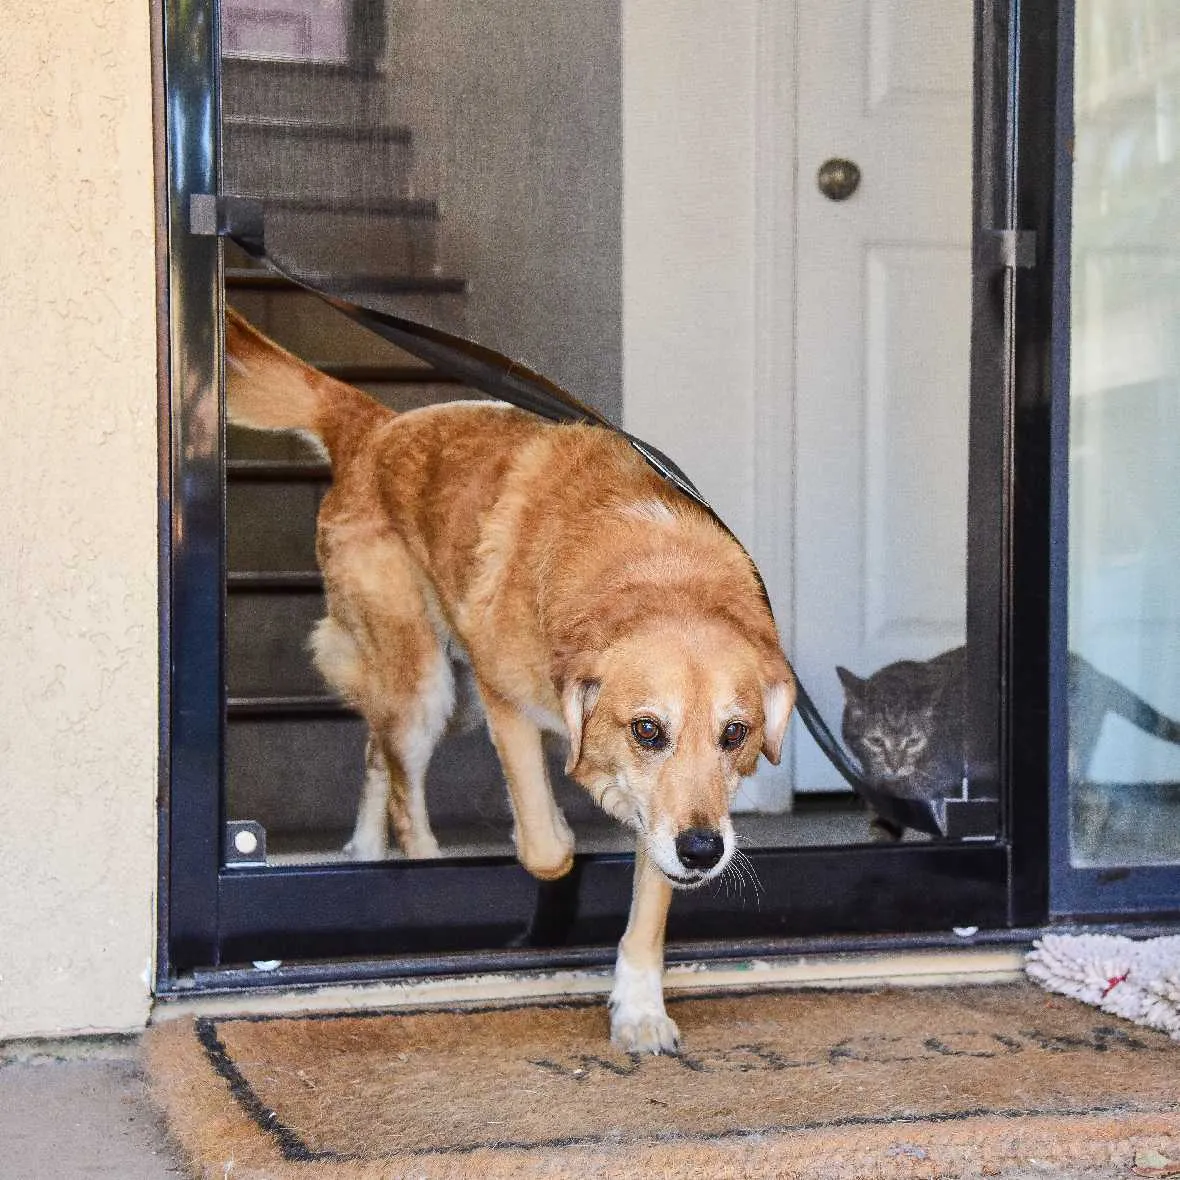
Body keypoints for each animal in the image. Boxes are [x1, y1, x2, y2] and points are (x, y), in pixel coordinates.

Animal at [223, 309, 792, 1057]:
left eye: (735, 734)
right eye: (648, 730)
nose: (705, 851)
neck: (659, 574)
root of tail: (374, 427)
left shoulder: (669, 813)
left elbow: (651, 903)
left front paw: (639, 1007)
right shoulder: (507, 705)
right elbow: (547, 848)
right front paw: (560, 838)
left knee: (376, 754)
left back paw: (365, 853)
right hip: (429, 686)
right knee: (403, 787)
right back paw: (420, 859)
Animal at [835, 646, 1180, 840]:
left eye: (913, 741)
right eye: (875, 740)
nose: (894, 766)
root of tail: (1095, 672)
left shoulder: (945, 794)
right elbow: (882, 832)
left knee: (1098, 801)